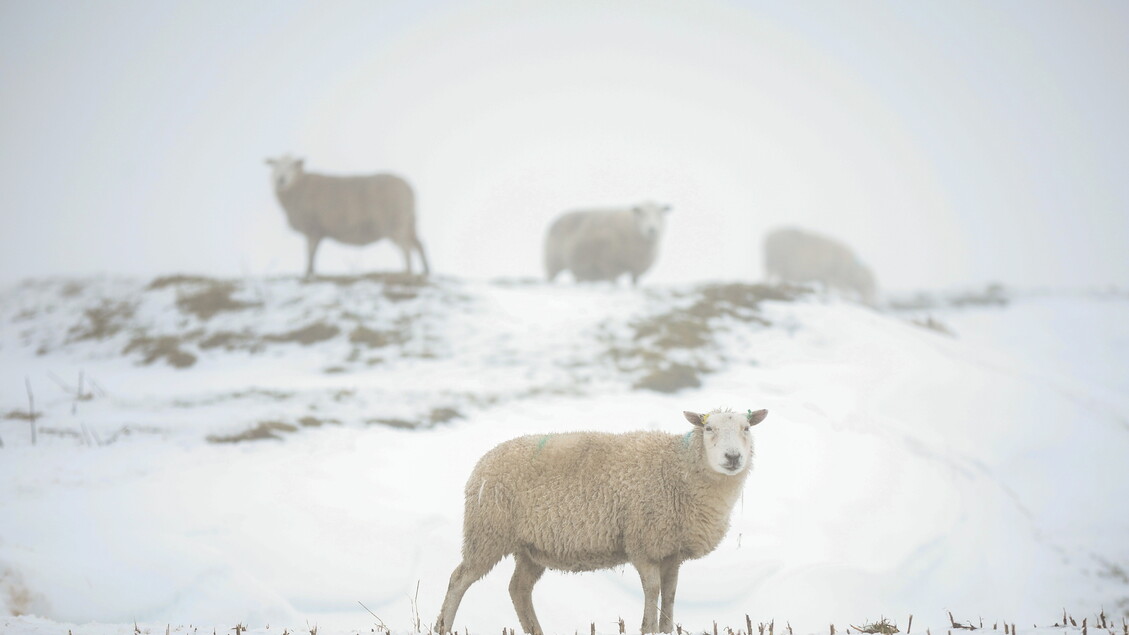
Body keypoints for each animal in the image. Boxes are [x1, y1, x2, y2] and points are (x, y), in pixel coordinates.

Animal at [261, 154, 429, 275]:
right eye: (275, 165)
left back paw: (407, 272)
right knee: (419, 244)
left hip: (396, 223)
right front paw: (311, 271)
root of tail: (409, 187)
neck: (299, 186)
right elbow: (313, 253)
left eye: (291, 166)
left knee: (406, 248)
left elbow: (310, 252)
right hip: (409, 222)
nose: (281, 179)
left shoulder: (313, 227)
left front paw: (308, 273)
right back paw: (425, 270)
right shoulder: (317, 230)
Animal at [435, 404, 772, 632]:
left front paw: (665, 628)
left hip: (529, 547)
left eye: (747, 428)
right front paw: (648, 628)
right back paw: (443, 626)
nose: (733, 457)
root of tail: (482, 463)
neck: (679, 470)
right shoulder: (642, 544)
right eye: (708, 428)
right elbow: (652, 591)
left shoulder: (670, 552)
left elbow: (671, 596)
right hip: (487, 532)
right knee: (458, 580)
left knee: (518, 589)